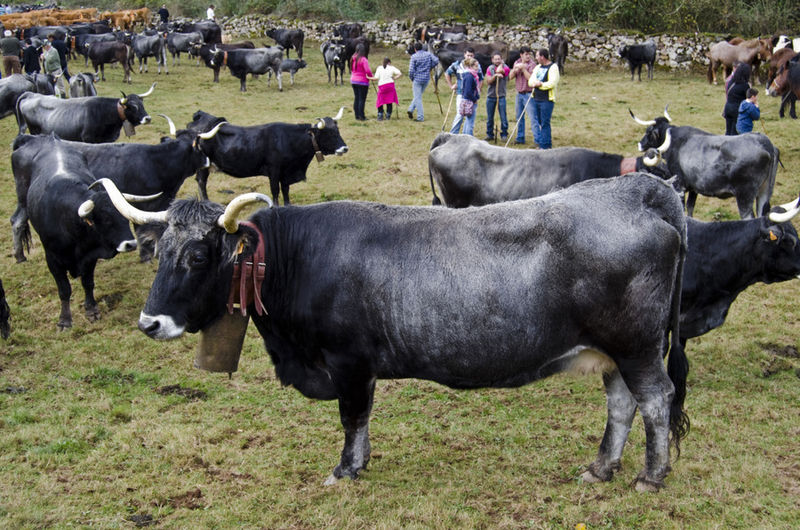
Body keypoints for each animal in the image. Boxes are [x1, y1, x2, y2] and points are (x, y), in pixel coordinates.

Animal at [11, 134, 139, 328]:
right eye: (106, 220)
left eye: (125, 218)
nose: (130, 244)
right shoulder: (53, 260)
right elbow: (64, 289)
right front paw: (64, 320)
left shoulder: (89, 257)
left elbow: (88, 283)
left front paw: (92, 310)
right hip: (22, 199)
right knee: (17, 221)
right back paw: (19, 256)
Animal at [103, 173, 692, 490]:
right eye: (158, 251)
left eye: (199, 256)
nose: (149, 322)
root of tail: (636, 190)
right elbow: (361, 418)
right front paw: (358, 464)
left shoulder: (348, 362)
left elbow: (352, 417)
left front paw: (345, 469)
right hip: (614, 352)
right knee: (622, 402)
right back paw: (601, 467)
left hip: (637, 347)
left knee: (655, 399)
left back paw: (651, 475)